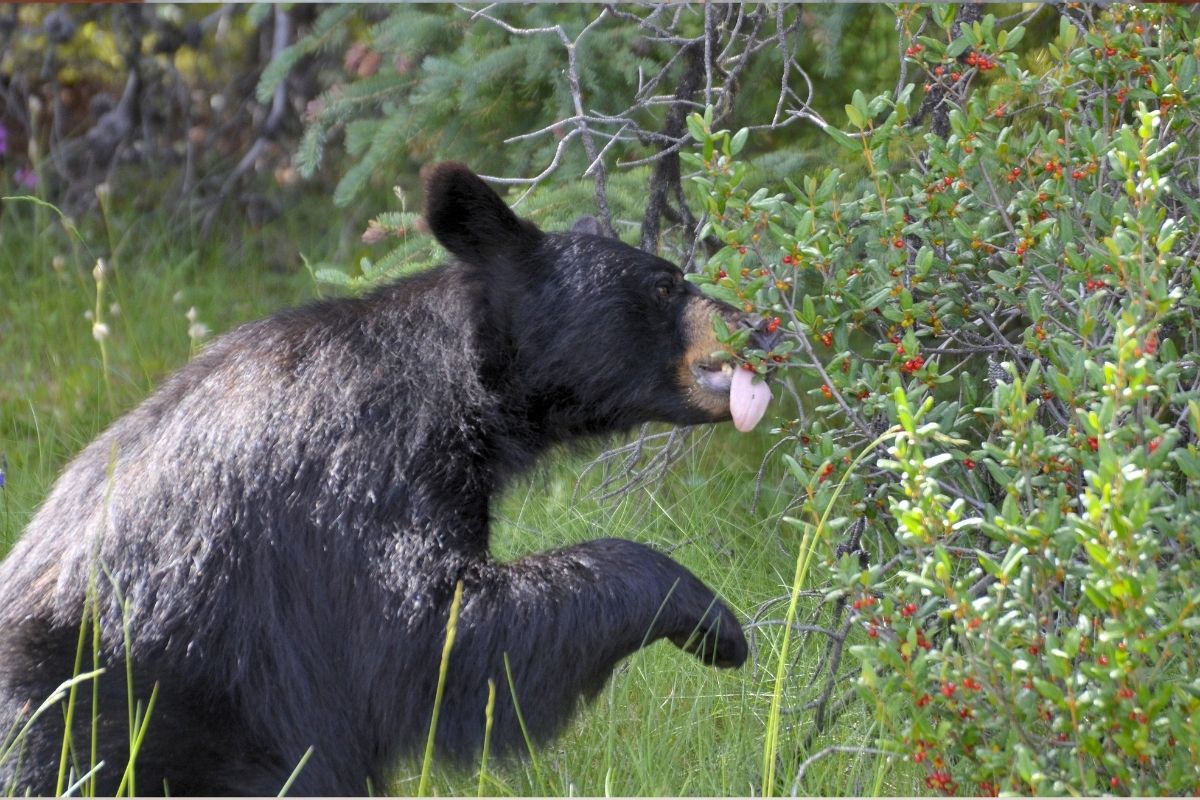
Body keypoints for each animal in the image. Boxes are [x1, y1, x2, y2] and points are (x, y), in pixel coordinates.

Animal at [0, 163, 768, 796]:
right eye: (665, 283)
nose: (762, 327)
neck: (457, 388)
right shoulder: (361, 472)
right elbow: (428, 635)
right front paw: (710, 617)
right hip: (119, 715)